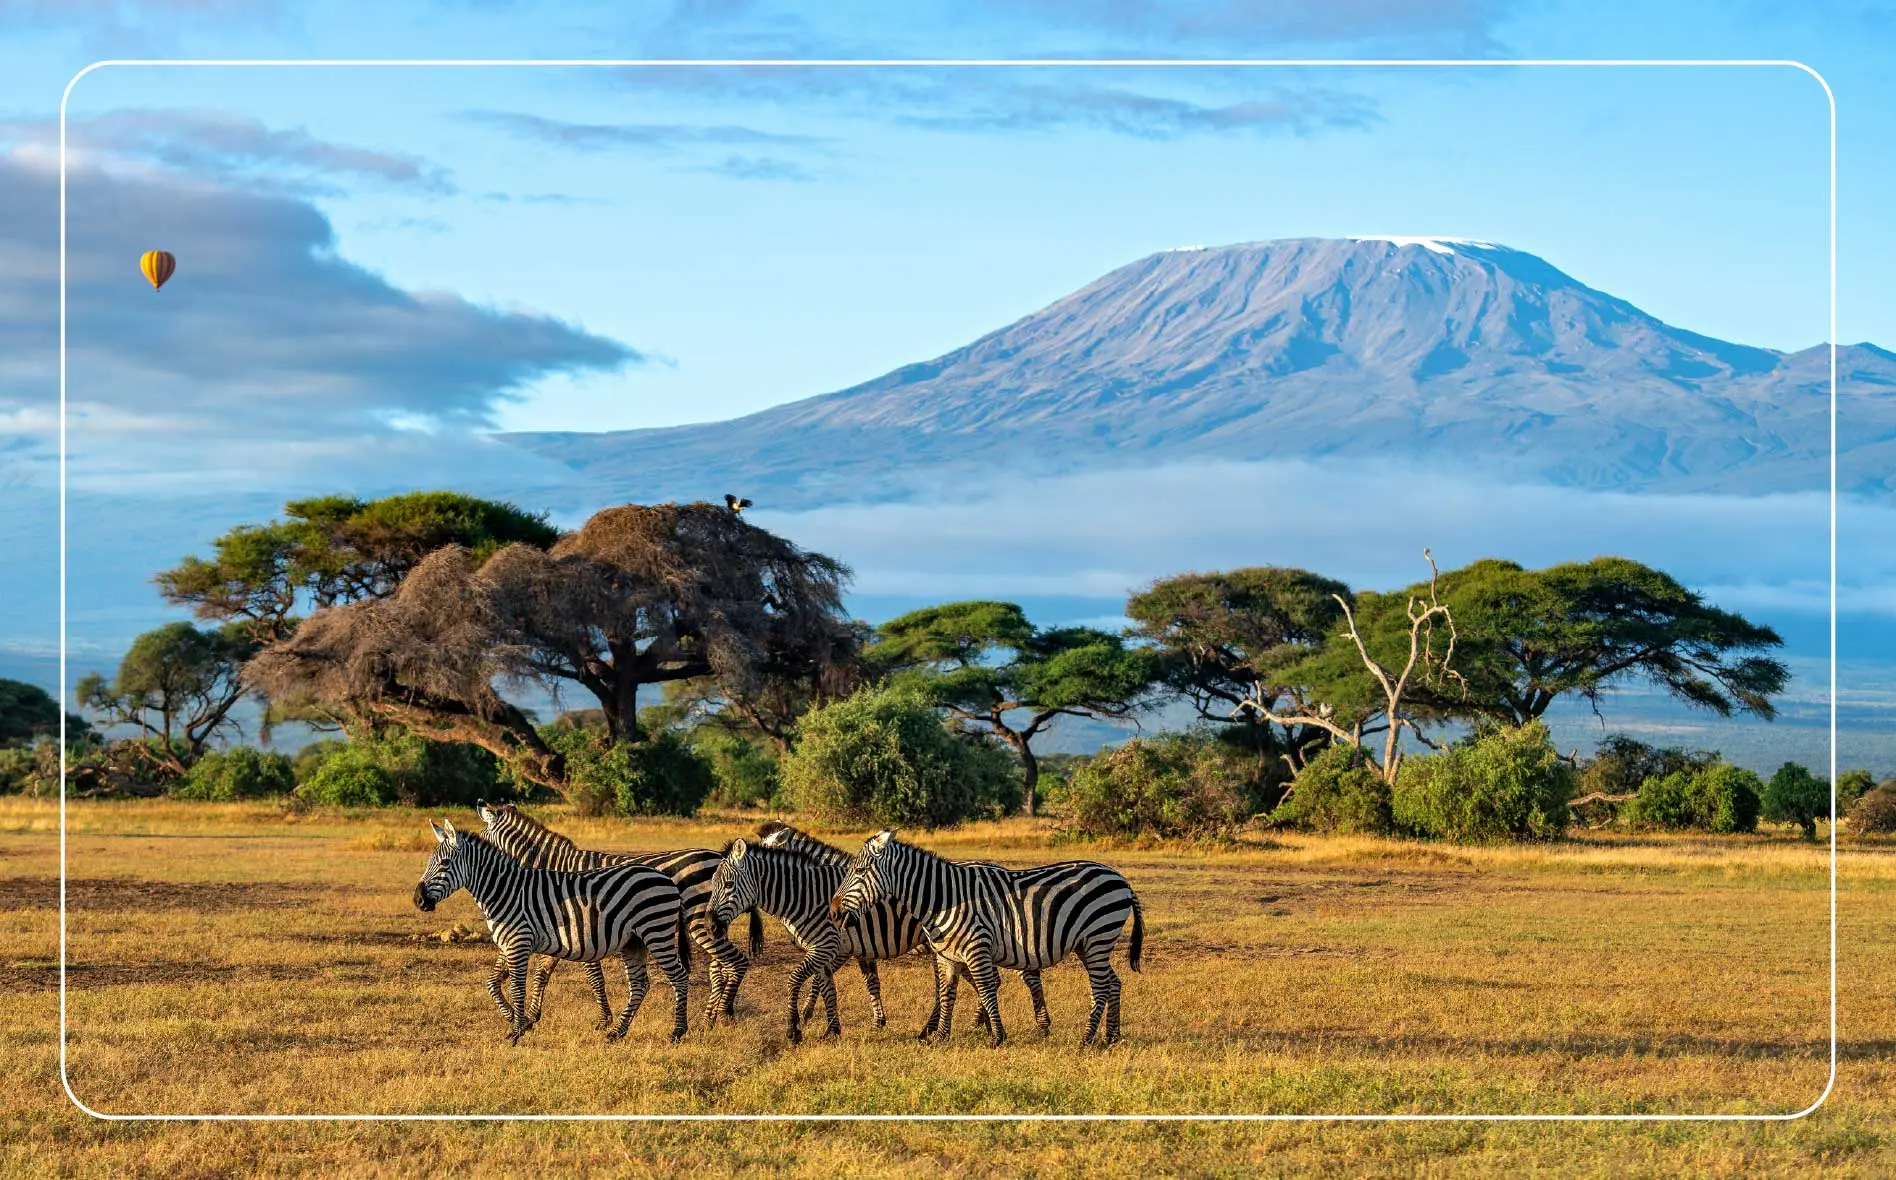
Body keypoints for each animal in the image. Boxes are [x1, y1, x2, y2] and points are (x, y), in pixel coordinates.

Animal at [412, 819, 691, 1044]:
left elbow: (516, 986)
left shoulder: (519, 942)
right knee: (640, 984)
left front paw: (516, 1031)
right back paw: (617, 1032)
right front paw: (516, 1020)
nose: (418, 900)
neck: (506, 891)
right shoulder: (508, 943)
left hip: (656, 932)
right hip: (633, 941)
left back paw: (677, 1032)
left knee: (678, 976)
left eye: (445, 863)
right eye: (429, 862)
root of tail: (666, 878)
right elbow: (493, 983)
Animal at [475, 802, 762, 1030]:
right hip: (710, 924)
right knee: (719, 967)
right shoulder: (557, 933)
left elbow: (594, 978)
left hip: (700, 921)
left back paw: (721, 1016)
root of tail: (718, 856)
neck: (553, 871)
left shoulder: (582, 931)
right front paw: (528, 1015)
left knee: (732, 962)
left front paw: (604, 1020)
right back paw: (708, 1019)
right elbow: (536, 973)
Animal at [831, 830, 1143, 1048]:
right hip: (1088, 945)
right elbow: (947, 994)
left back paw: (1087, 1039)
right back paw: (1112, 1036)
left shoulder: (977, 948)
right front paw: (940, 1037)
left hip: (1098, 936)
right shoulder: (947, 955)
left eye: (859, 871)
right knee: (1113, 982)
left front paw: (997, 1037)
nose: (833, 912)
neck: (943, 899)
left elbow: (986, 989)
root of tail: (1121, 879)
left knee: (1101, 987)